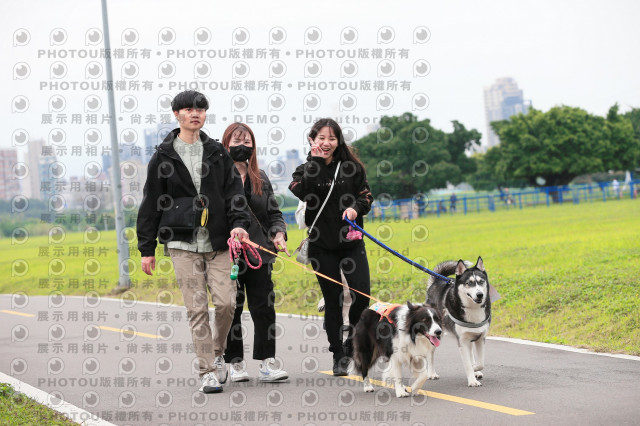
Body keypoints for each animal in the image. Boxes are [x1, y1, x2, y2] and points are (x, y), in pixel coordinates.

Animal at [426, 257, 492, 387]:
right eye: (469, 283)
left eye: (481, 281)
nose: (480, 294)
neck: (473, 309)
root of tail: (436, 282)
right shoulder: (462, 341)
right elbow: (468, 364)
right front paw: (472, 380)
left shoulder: (480, 338)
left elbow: (480, 363)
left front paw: (475, 369)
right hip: (436, 333)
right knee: (430, 354)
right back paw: (431, 373)